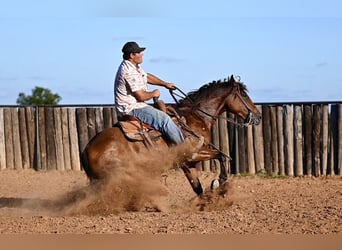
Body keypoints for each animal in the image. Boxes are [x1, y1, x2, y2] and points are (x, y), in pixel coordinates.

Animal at [81, 75, 262, 196]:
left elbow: (197, 187)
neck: (197, 117)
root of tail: (86, 150)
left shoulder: (188, 163)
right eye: (244, 95)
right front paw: (218, 182)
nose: (258, 116)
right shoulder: (195, 154)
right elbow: (222, 156)